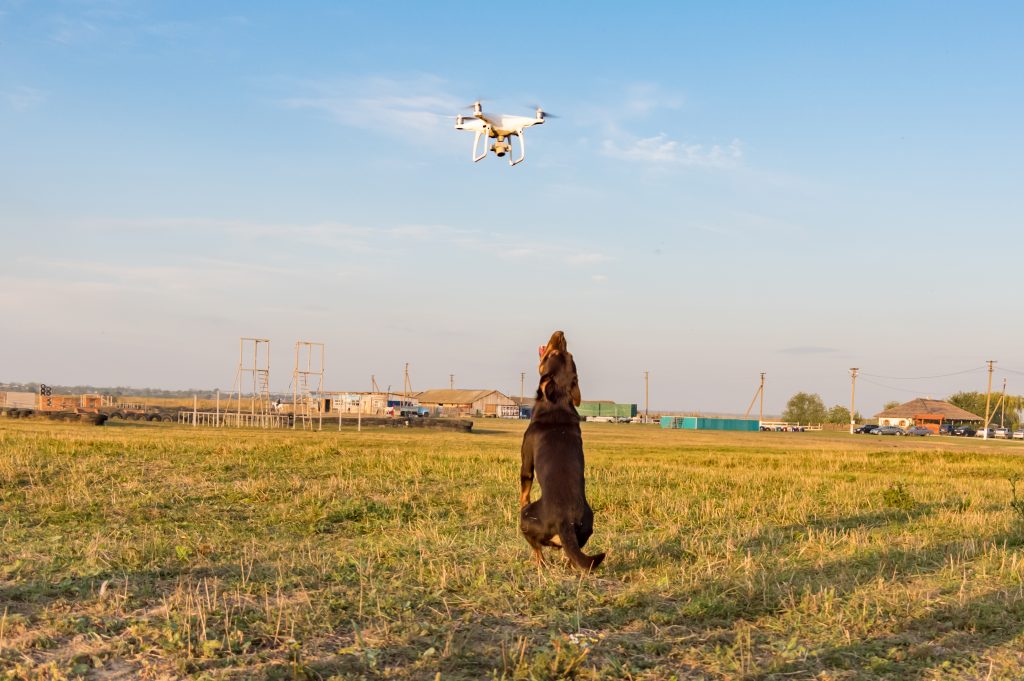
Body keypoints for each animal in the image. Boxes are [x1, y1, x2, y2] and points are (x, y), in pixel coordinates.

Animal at [516, 329, 602, 569]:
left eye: (553, 354)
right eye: (567, 354)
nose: (561, 333)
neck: (559, 400)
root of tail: (565, 521)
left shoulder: (526, 461)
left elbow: (524, 488)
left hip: (527, 519)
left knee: (537, 547)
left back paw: (539, 562)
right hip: (587, 525)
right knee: (570, 551)